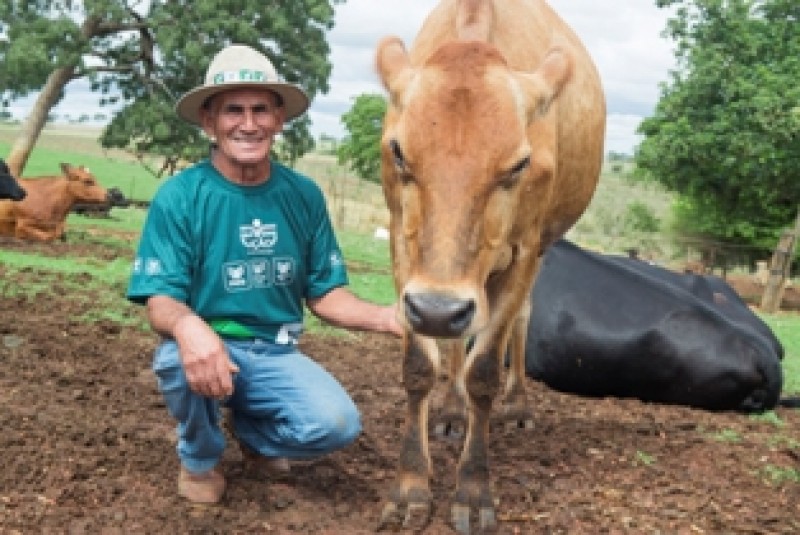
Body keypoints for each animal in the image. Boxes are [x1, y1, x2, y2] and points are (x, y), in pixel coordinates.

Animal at [378, 2, 604, 532]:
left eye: (519, 164)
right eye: (398, 150)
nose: (437, 309)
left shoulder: (523, 250)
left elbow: (483, 371)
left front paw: (474, 491)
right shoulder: (403, 247)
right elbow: (420, 365)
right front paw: (410, 488)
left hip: (540, 249)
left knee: (518, 319)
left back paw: (515, 405)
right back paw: (451, 411)